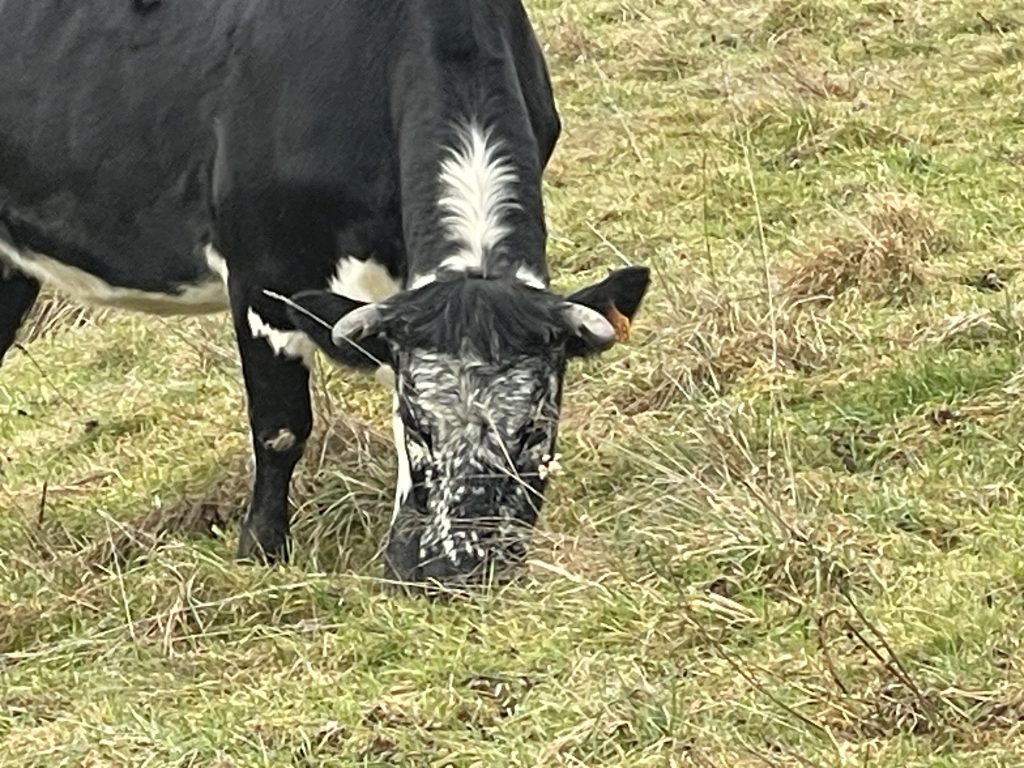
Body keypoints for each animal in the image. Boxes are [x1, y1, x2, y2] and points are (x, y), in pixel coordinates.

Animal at [0, 0, 650, 588]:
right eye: (420, 424)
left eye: (536, 427)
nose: (461, 570)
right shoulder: (263, 271)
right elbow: (281, 427)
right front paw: (261, 553)